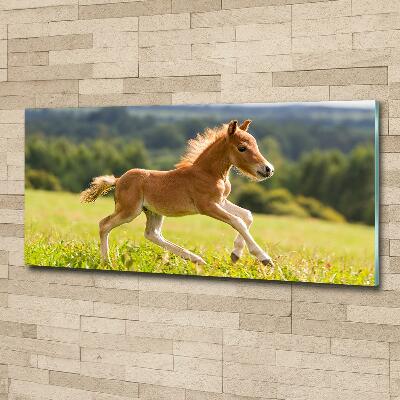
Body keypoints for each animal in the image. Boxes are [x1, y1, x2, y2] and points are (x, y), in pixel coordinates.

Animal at [81, 120, 276, 268]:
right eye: (242, 148)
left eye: (256, 146)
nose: (268, 169)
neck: (209, 173)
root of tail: (119, 179)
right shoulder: (207, 206)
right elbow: (237, 221)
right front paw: (264, 258)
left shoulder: (221, 201)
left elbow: (247, 215)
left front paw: (235, 254)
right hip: (129, 210)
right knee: (104, 224)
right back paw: (106, 262)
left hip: (152, 211)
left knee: (152, 234)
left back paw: (197, 259)